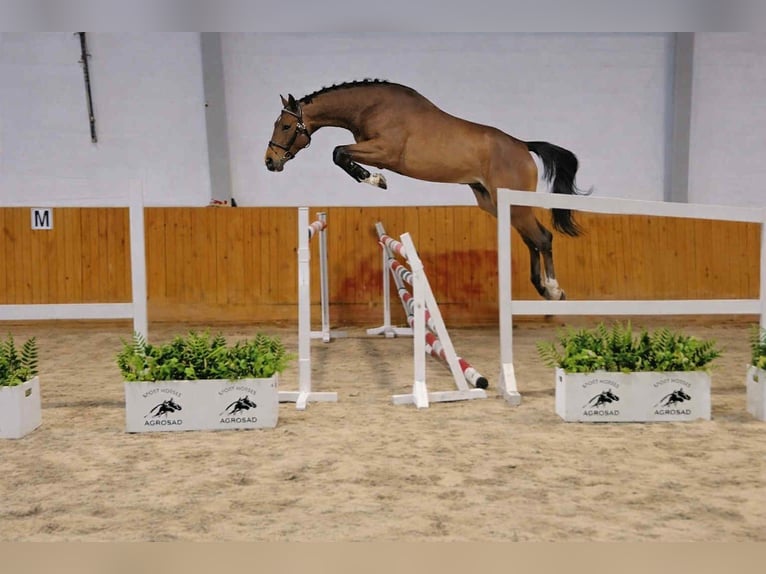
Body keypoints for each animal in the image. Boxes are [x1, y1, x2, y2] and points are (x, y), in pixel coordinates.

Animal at [264, 79, 589, 300]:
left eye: (285, 126)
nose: (270, 161)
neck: (372, 107)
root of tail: (523, 146)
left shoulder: (384, 152)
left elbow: (338, 152)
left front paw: (375, 180)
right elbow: (340, 154)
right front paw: (373, 179)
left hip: (513, 204)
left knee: (543, 238)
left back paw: (554, 289)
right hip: (495, 203)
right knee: (532, 240)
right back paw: (543, 289)